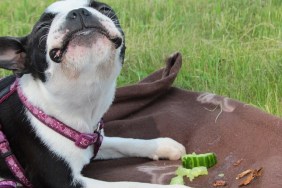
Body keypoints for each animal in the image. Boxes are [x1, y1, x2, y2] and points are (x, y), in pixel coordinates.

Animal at [0, 0, 187, 187]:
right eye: (42, 28)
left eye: (105, 9)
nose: (78, 12)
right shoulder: (61, 181)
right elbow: (127, 183)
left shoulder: (95, 140)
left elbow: (121, 141)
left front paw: (161, 145)